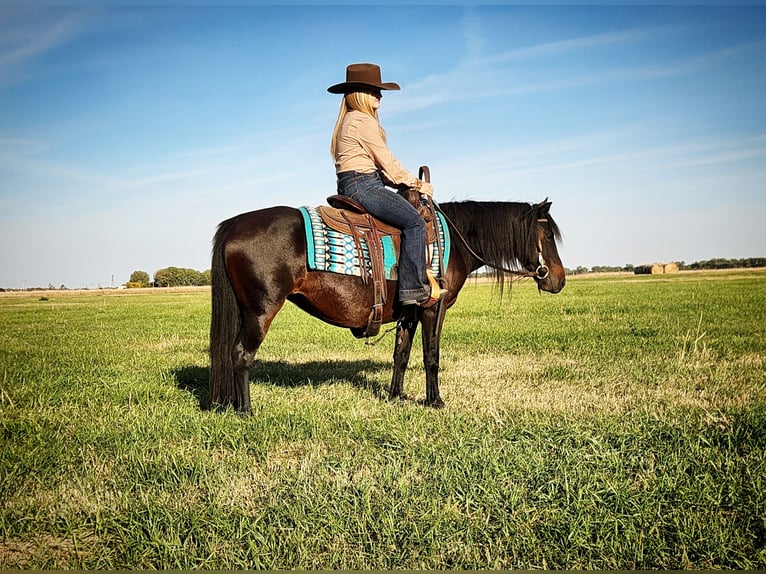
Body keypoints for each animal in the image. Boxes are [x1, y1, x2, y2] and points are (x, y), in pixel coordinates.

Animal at [207, 198, 568, 414]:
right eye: (549, 235)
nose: (559, 279)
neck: (454, 240)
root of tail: (235, 223)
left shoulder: (409, 312)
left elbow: (402, 354)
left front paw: (395, 396)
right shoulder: (433, 309)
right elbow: (431, 356)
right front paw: (435, 400)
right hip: (261, 310)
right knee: (241, 355)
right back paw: (246, 410)